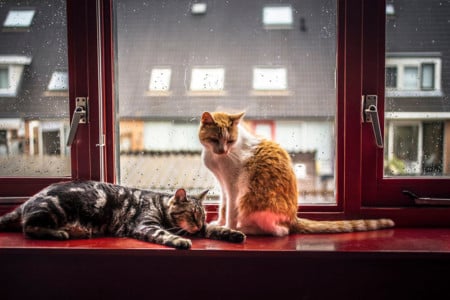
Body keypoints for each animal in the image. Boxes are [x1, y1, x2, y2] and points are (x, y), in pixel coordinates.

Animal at [0, 180, 246, 248]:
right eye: (193, 215)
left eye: (203, 216)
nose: (198, 224)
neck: (159, 203)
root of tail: (28, 200)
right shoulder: (146, 224)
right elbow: (165, 234)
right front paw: (179, 240)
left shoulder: (203, 229)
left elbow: (217, 229)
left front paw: (232, 233)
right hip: (54, 210)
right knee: (28, 228)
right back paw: (58, 233)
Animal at [200, 111, 394, 236]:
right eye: (214, 140)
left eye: (230, 141)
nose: (223, 150)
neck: (215, 157)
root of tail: (293, 218)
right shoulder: (223, 185)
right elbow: (223, 206)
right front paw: (220, 223)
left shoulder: (233, 186)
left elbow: (230, 211)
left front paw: (228, 227)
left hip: (248, 199)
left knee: (280, 231)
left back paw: (244, 229)